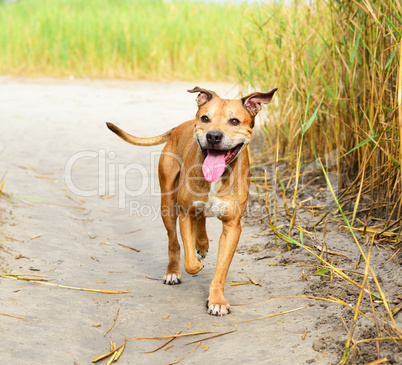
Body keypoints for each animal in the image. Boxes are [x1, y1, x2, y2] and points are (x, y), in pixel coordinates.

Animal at [106, 86, 276, 314]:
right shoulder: (185, 214)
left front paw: (217, 300)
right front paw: (196, 262)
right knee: (174, 242)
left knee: (200, 221)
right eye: (205, 118)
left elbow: (221, 269)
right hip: (168, 204)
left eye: (234, 121)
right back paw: (174, 270)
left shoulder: (232, 226)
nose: (213, 136)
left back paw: (202, 243)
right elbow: (190, 262)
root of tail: (179, 127)